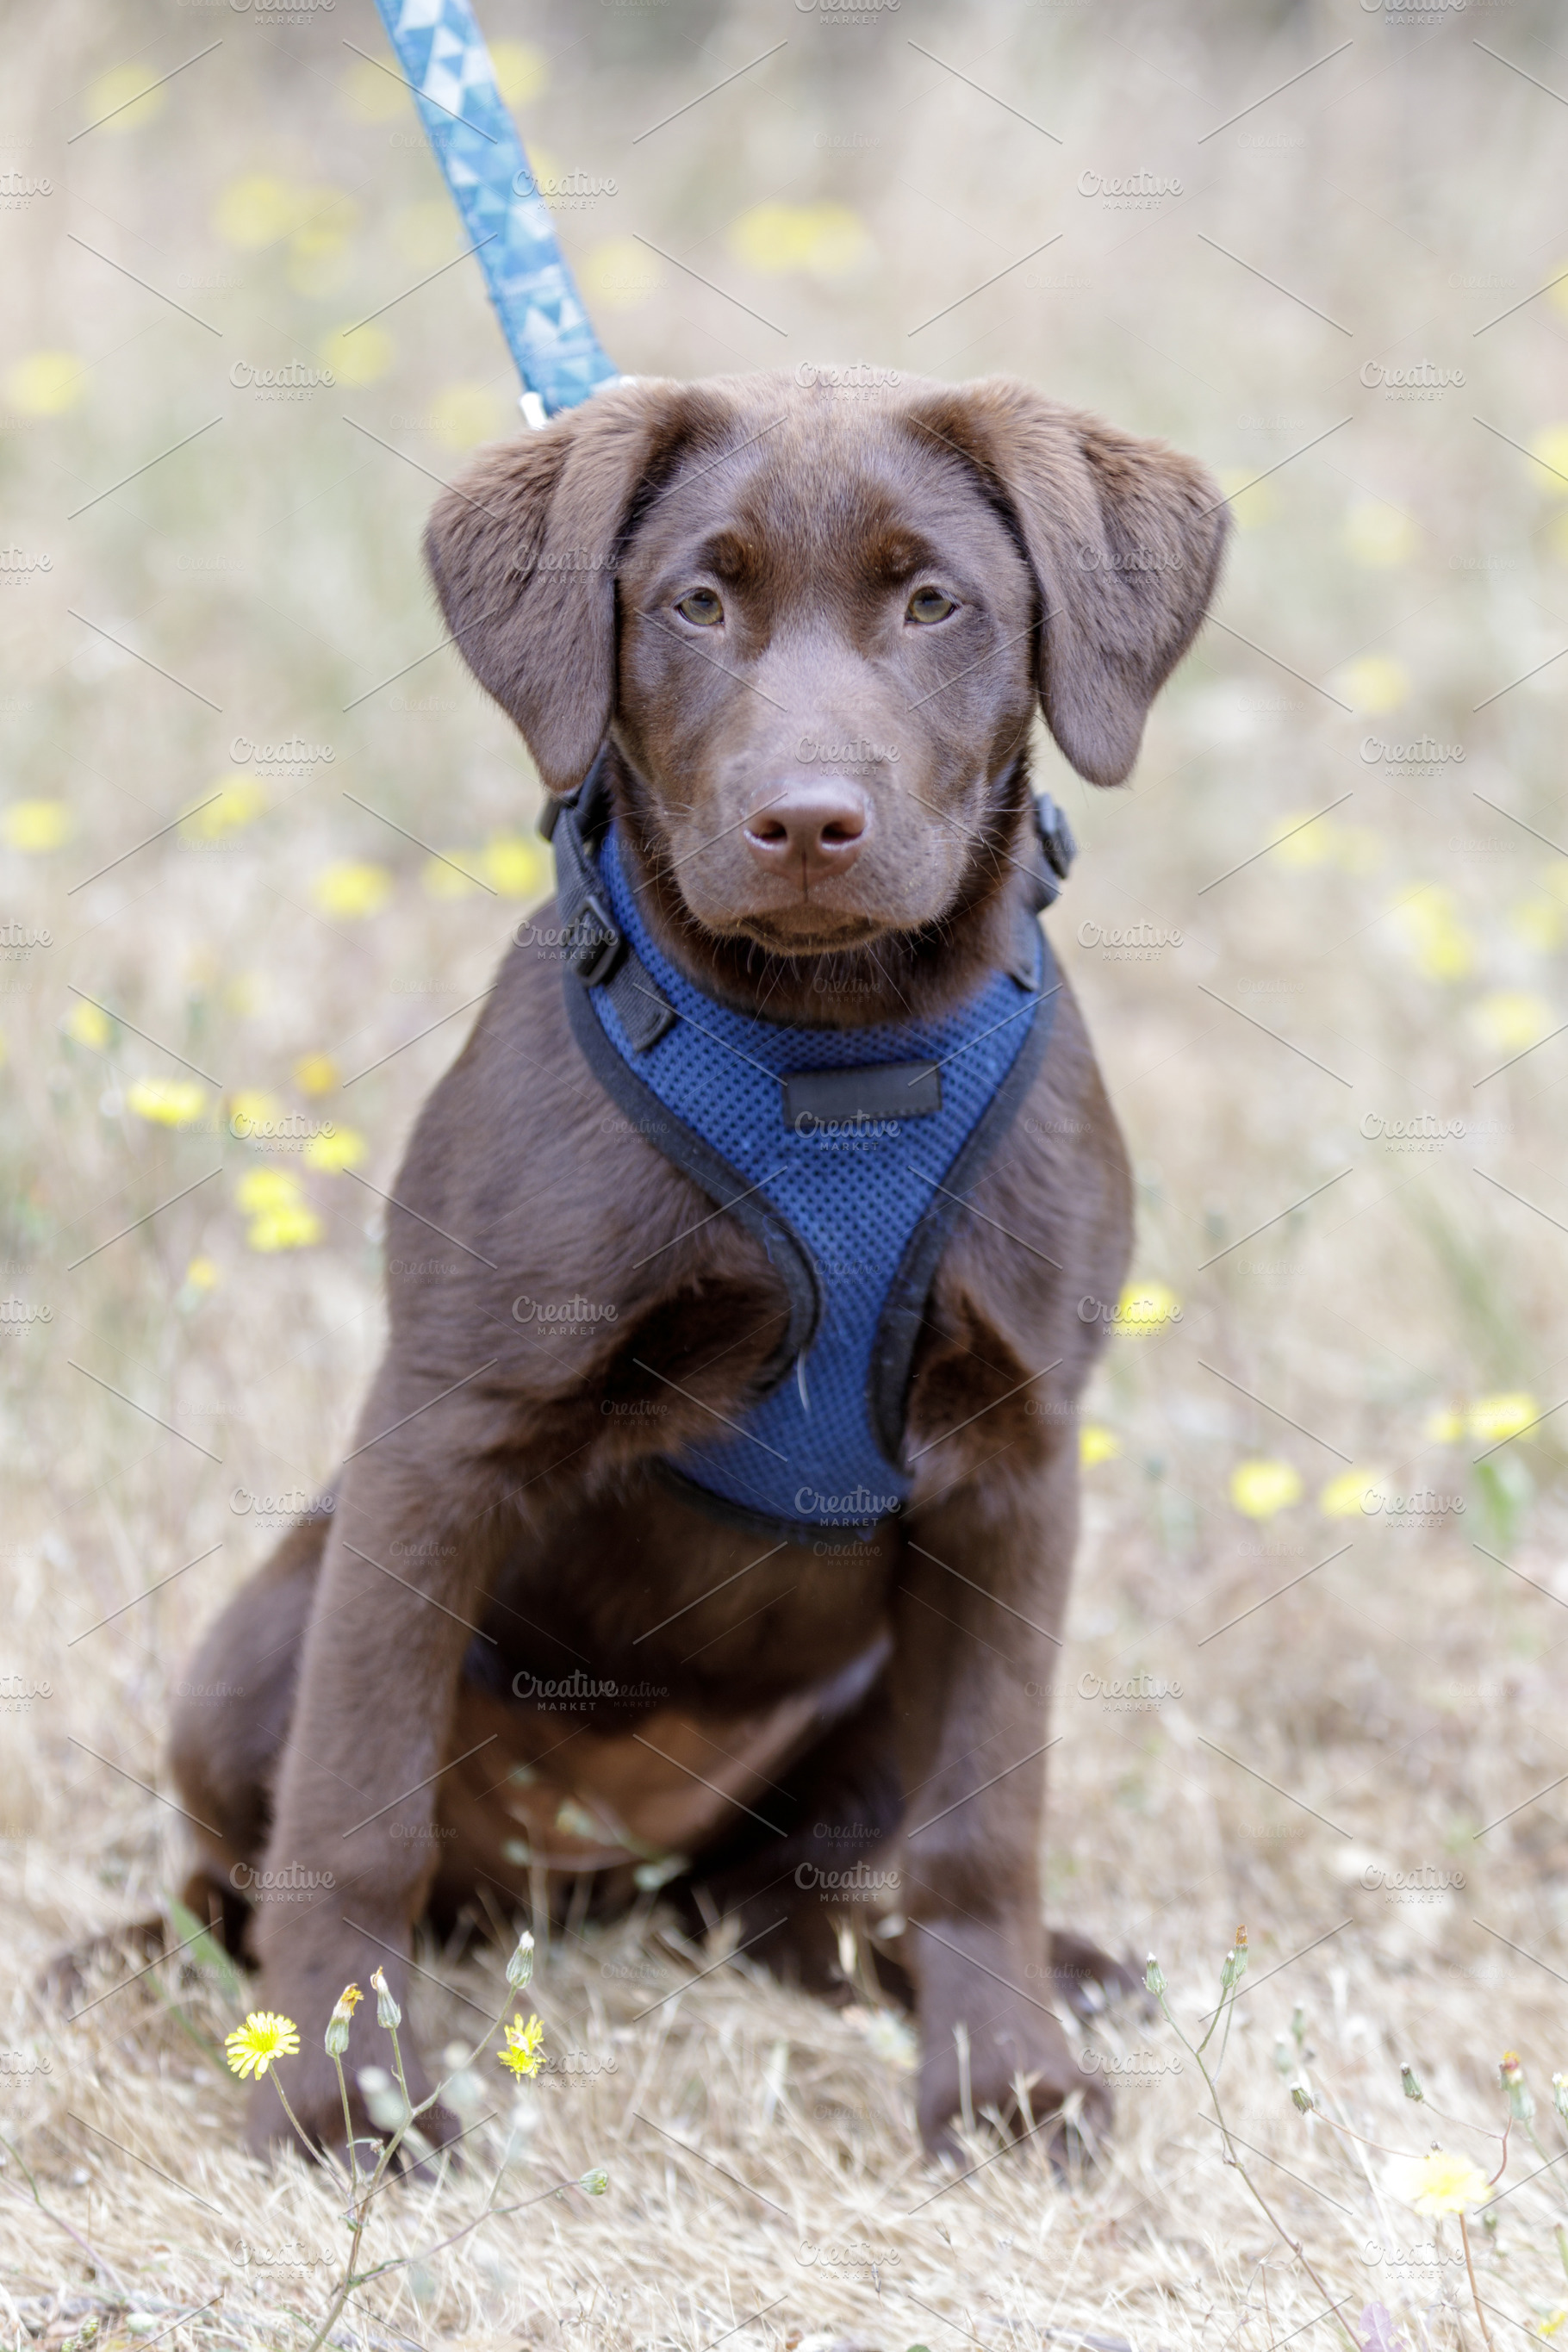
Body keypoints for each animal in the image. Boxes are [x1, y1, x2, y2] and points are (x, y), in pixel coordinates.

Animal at [169, 371, 1222, 2163]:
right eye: (697, 603)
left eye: (934, 602)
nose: (805, 822)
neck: (834, 1050)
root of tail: (597, 1863)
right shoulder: (440, 1436)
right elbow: (353, 1806)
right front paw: (340, 2096)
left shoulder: (1017, 1469)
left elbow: (986, 1821)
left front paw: (1002, 2078)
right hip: (259, 1642)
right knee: (247, 1874)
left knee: (785, 1900)